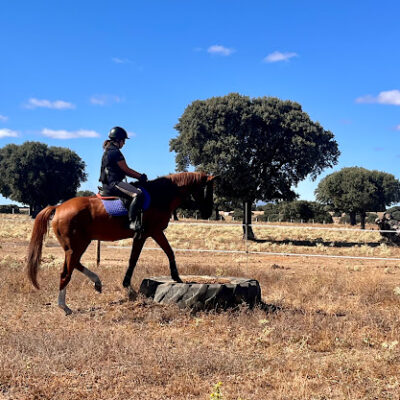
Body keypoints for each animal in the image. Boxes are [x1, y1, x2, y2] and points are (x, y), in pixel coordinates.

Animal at [27, 170, 216, 314]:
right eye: (208, 190)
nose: (208, 213)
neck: (159, 195)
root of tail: (58, 207)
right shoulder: (145, 234)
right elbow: (134, 259)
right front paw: (129, 288)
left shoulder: (154, 233)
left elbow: (169, 252)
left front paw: (176, 276)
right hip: (75, 246)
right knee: (66, 272)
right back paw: (64, 307)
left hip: (78, 244)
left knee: (75, 265)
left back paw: (96, 282)